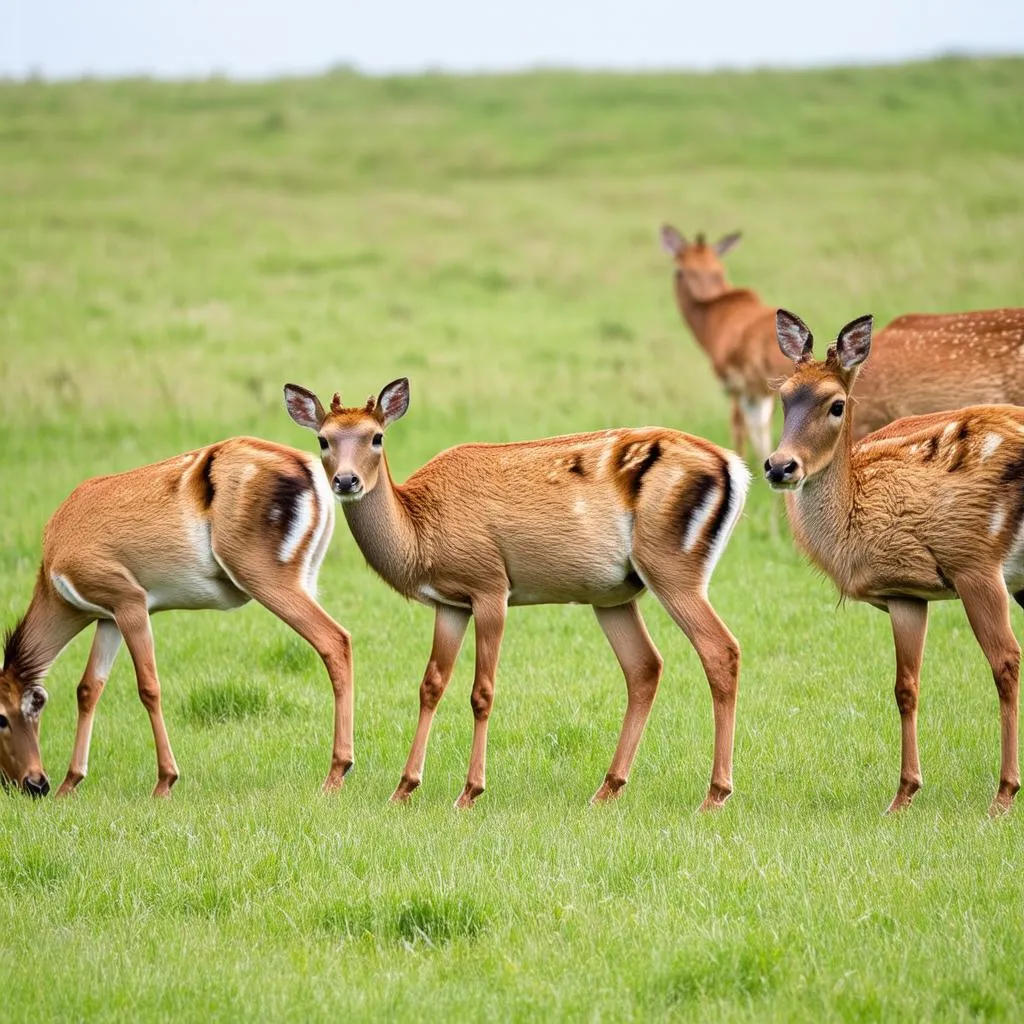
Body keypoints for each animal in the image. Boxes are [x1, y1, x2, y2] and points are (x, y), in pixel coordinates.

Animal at [0, 440, 352, 798]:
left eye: (1, 717)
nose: (33, 784)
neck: (56, 559)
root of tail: (308, 466)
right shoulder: (108, 618)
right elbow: (88, 688)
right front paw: (70, 783)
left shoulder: (130, 602)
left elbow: (148, 686)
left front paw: (164, 781)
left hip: (266, 579)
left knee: (335, 640)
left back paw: (336, 773)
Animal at [284, 380, 749, 811]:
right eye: (323, 438)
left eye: (376, 436)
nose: (346, 480)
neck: (419, 532)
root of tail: (736, 469)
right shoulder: (450, 603)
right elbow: (431, 684)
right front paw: (403, 788)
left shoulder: (490, 585)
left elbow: (482, 691)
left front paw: (470, 792)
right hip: (613, 596)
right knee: (644, 667)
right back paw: (607, 789)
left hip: (672, 568)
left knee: (720, 649)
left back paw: (715, 794)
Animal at [659, 227, 786, 464]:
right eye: (682, 269)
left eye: (717, 270)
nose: (702, 294)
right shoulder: (760, 394)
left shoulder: (738, 387)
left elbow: (739, 429)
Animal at [765, 309, 1019, 815]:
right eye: (784, 397)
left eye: (836, 404)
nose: (780, 466)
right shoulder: (905, 592)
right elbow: (905, 686)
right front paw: (903, 794)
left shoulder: (973, 564)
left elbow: (1004, 664)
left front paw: (1003, 796)